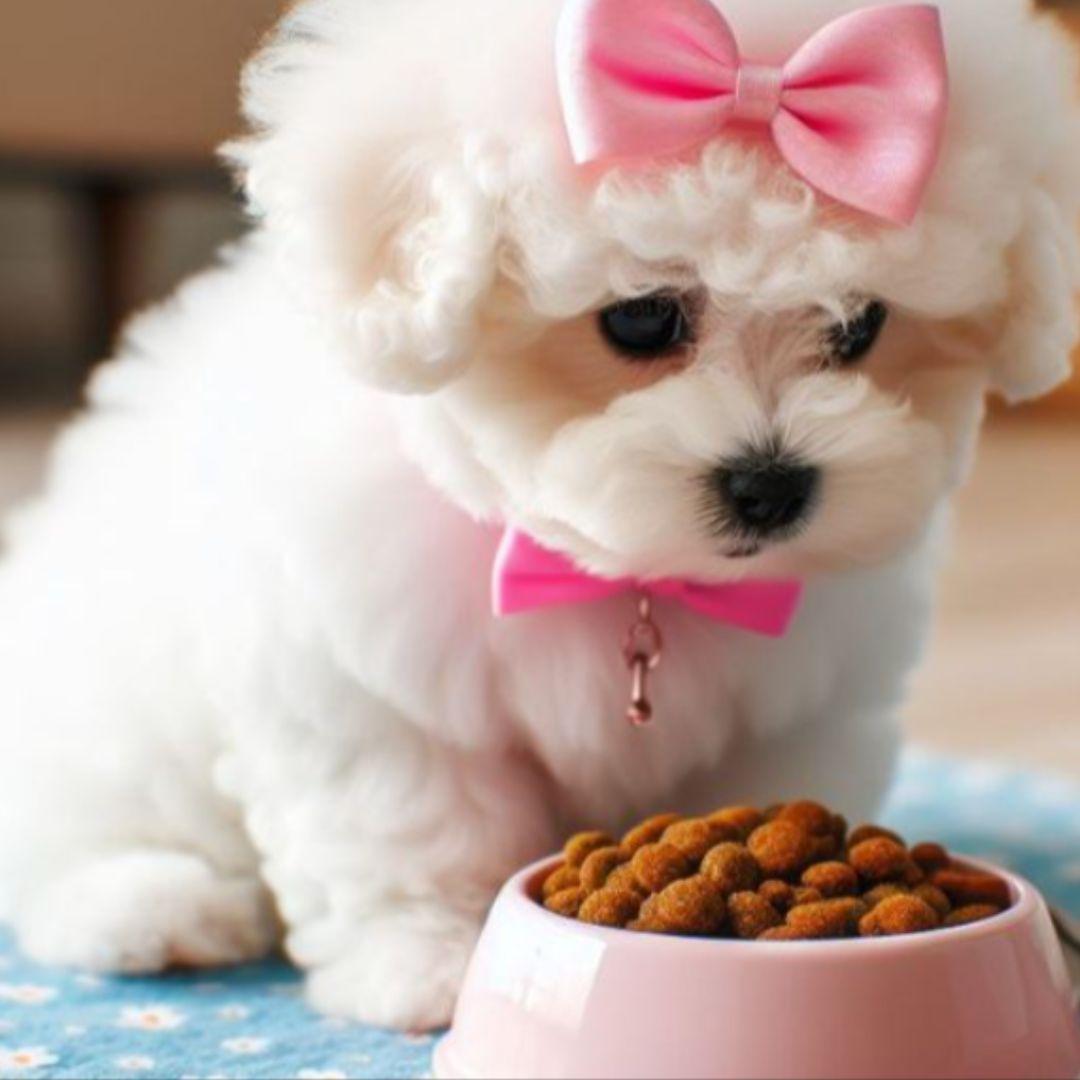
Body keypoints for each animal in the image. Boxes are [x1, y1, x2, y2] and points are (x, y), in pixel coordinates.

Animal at [2, 0, 1080, 1032]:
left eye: (861, 325)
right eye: (640, 317)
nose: (772, 485)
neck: (619, 573)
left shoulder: (790, 704)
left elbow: (754, 779)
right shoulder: (366, 692)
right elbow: (413, 826)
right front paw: (429, 968)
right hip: (105, 710)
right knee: (71, 834)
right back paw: (152, 907)